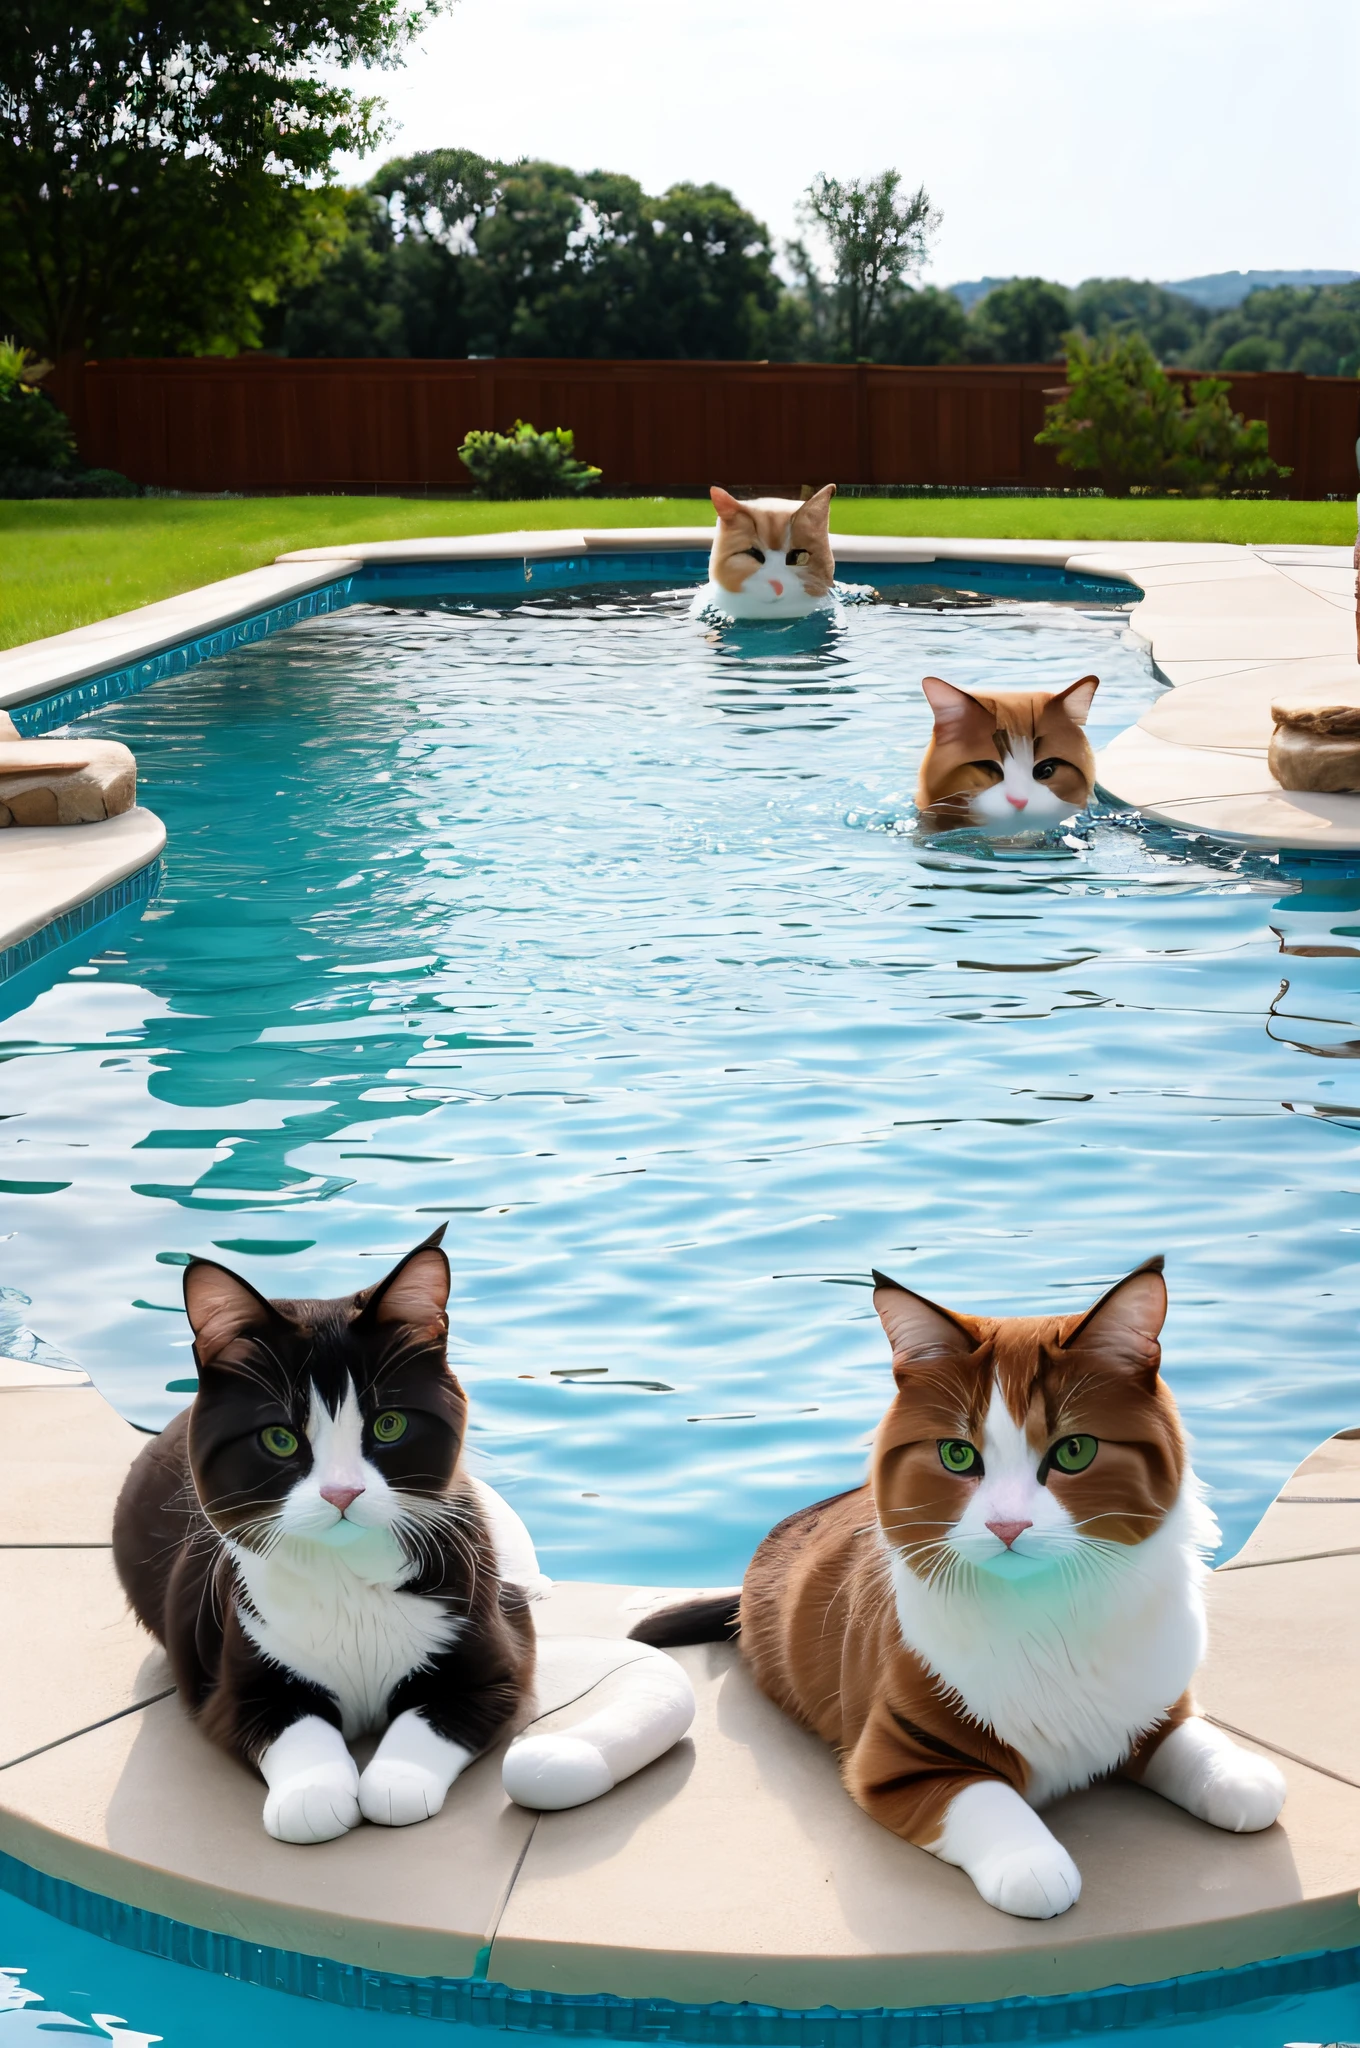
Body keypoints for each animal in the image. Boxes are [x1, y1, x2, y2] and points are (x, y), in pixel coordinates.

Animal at [112, 1220, 692, 1851]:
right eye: (279, 1439)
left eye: (389, 1425)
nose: (341, 1494)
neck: (346, 1580)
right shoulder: (235, 1679)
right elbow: (295, 1726)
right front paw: (313, 1793)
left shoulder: (494, 1660)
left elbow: (433, 1715)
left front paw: (396, 1779)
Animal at [630, 1261, 1278, 1916]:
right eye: (957, 1455)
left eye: (1075, 1450)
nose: (1007, 1526)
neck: (1048, 1610)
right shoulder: (895, 1753)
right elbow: (986, 1801)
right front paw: (1033, 1862)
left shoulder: (1154, 1703)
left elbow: (1218, 1765)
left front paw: (1239, 1771)